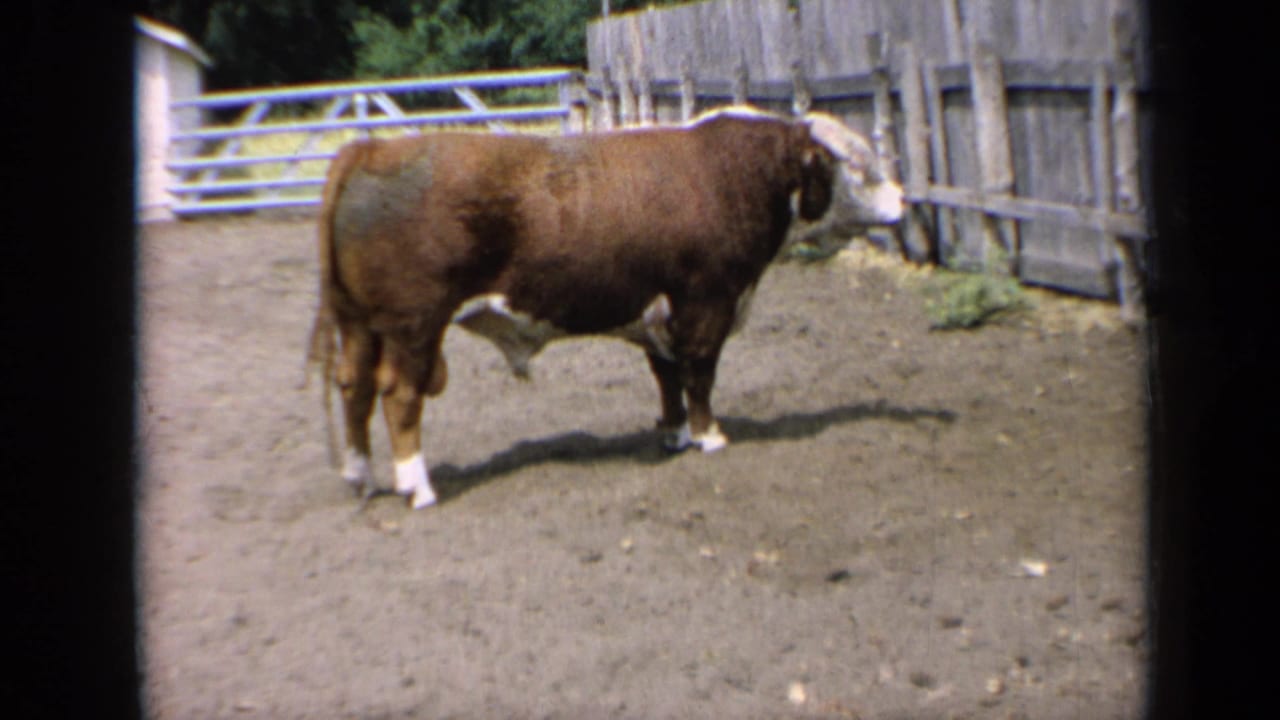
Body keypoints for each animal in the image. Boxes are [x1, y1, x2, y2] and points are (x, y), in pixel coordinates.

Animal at [306, 106, 904, 509]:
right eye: (856, 163)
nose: (904, 198)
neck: (733, 175)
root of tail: (371, 150)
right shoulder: (707, 304)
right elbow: (700, 375)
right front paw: (709, 436)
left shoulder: (660, 314)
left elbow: (667, 378)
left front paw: (674, 433)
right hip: (414, 325)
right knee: (398, 395)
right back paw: (417, 485)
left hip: (360, 324)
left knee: (355, 387)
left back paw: (361, 476)